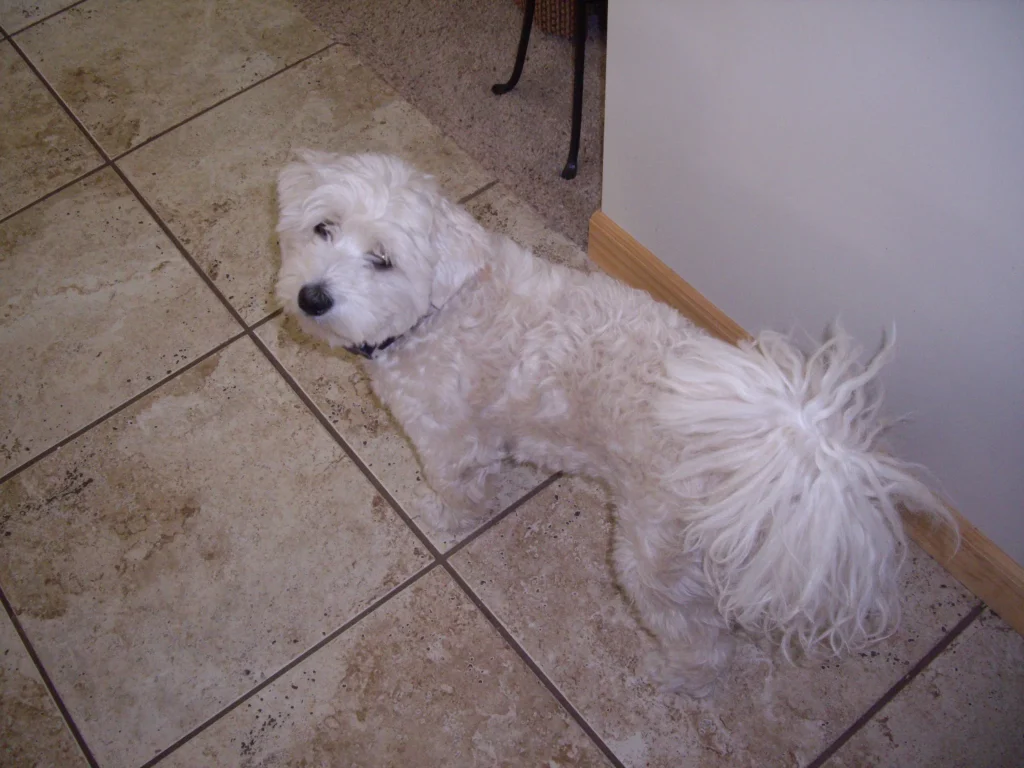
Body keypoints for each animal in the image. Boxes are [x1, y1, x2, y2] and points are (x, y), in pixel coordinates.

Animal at [274, 151, 956, 696]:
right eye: (323, 227)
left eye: (382, 260)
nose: (312, 297)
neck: (441, 309)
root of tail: (775, 447)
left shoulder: (447, 440)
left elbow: (456, 490)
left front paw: (442, 517)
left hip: (648, 554)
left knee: (704, 640)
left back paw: (677, 676)